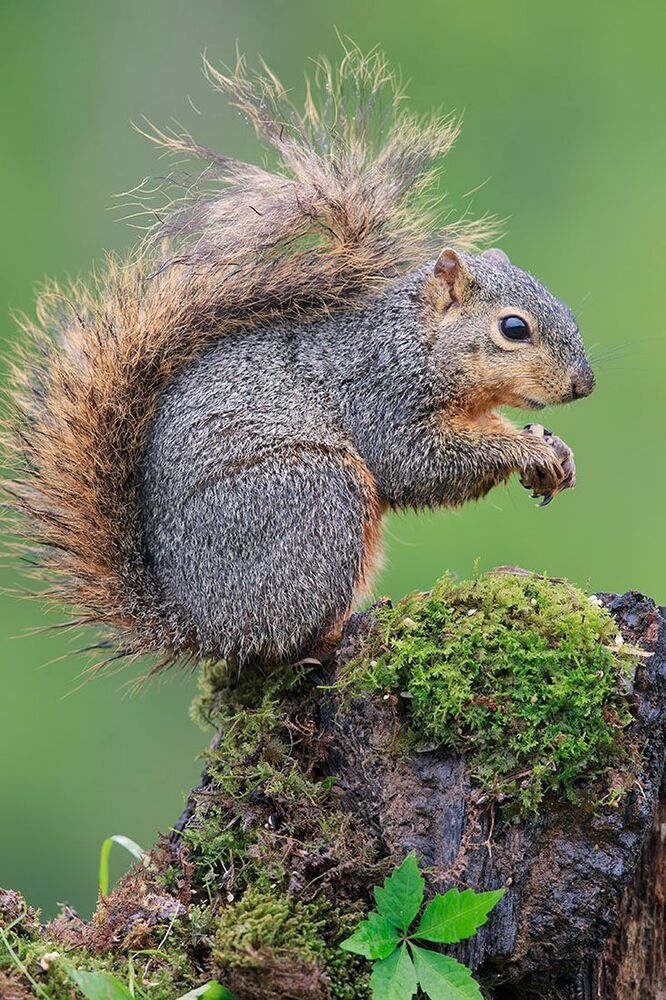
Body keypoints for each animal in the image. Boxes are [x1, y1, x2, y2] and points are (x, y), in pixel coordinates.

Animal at [3, 48, 594, 672]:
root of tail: (200, 625)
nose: (584, 385)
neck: (415, 341)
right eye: (513, 328)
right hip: (316, 499)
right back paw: (346, 631)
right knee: (287, 640)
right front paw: (526, 447)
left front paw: (554, 449)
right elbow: (416, 464)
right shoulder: (381, 395)